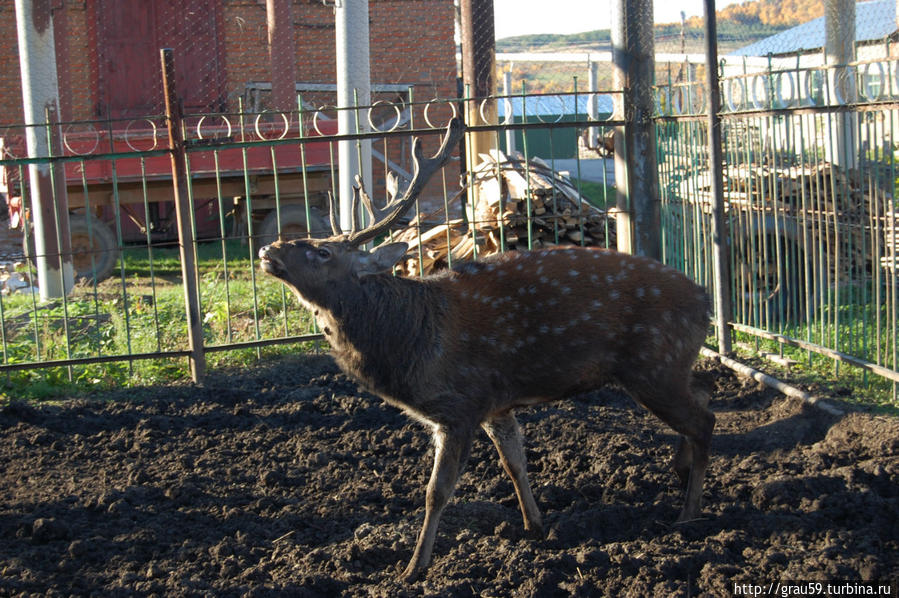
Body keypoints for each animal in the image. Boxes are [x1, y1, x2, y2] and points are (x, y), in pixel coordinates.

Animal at [258, 118, 716, 584]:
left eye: (322, 251)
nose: (268, 249)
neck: (410, 342)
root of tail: (705, 300)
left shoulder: (460, 405)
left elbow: (437, 491)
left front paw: (413, 567)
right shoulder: (495, 404)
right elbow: (515, 462)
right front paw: (536, 526)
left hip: (654, 365)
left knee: (705, 419)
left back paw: (688, 514)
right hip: (667, 366)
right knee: (705, 392)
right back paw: (679, 472)